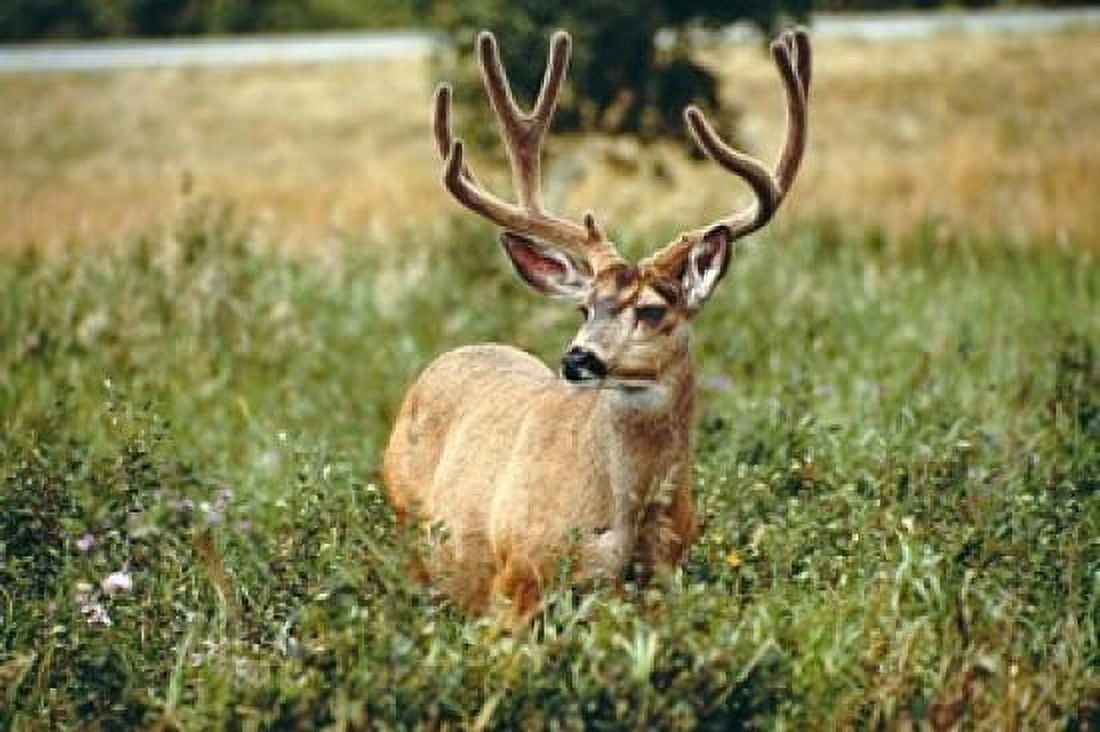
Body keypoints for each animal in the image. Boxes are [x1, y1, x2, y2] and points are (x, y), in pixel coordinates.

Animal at [383, 27, 811, 627]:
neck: (624, 524)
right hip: (410, 537)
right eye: (585, 308)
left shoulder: (663, 582)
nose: (577, 358)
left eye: (653, 310)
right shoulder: (516, 581)